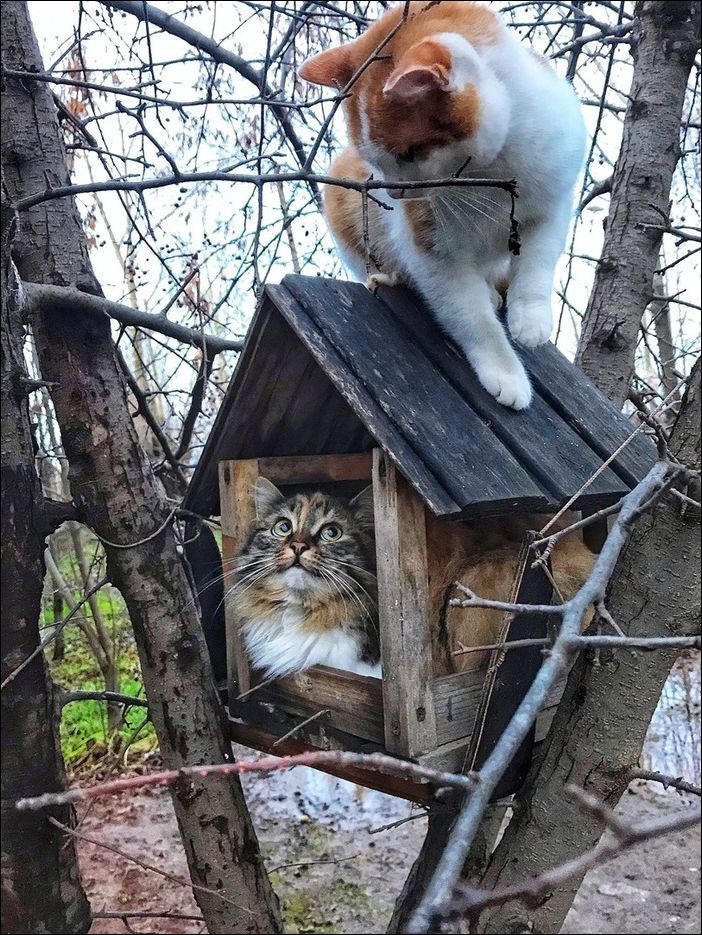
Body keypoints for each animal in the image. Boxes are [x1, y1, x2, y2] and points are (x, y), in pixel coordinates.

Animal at [299, 1, 586, 410]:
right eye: (375, 160)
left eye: (409, 153)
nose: (396, 194)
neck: (494, 171)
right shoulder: (431, 252)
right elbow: (470, 317)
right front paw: (505, 371)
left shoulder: (553, 205)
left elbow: (538, 263)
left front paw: (530, 319)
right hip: (344, 204)